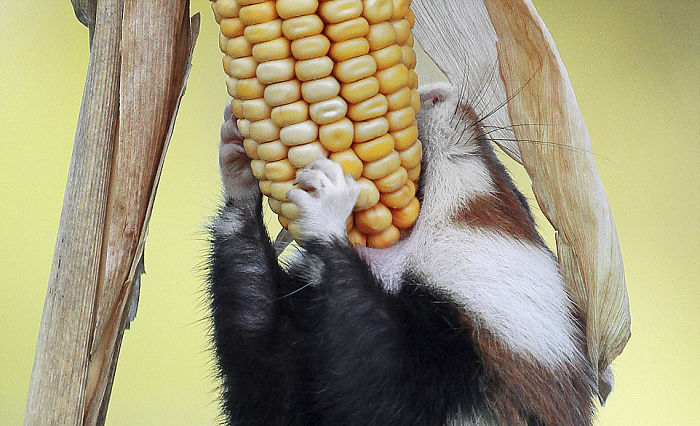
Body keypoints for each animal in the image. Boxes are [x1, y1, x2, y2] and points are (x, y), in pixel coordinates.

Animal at [207, 81, 595, 425]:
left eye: (513, 194)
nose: (432, 92)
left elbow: (374, 369)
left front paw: (329, 200)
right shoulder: (278, 378)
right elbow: (259, 355)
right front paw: (236, 150)